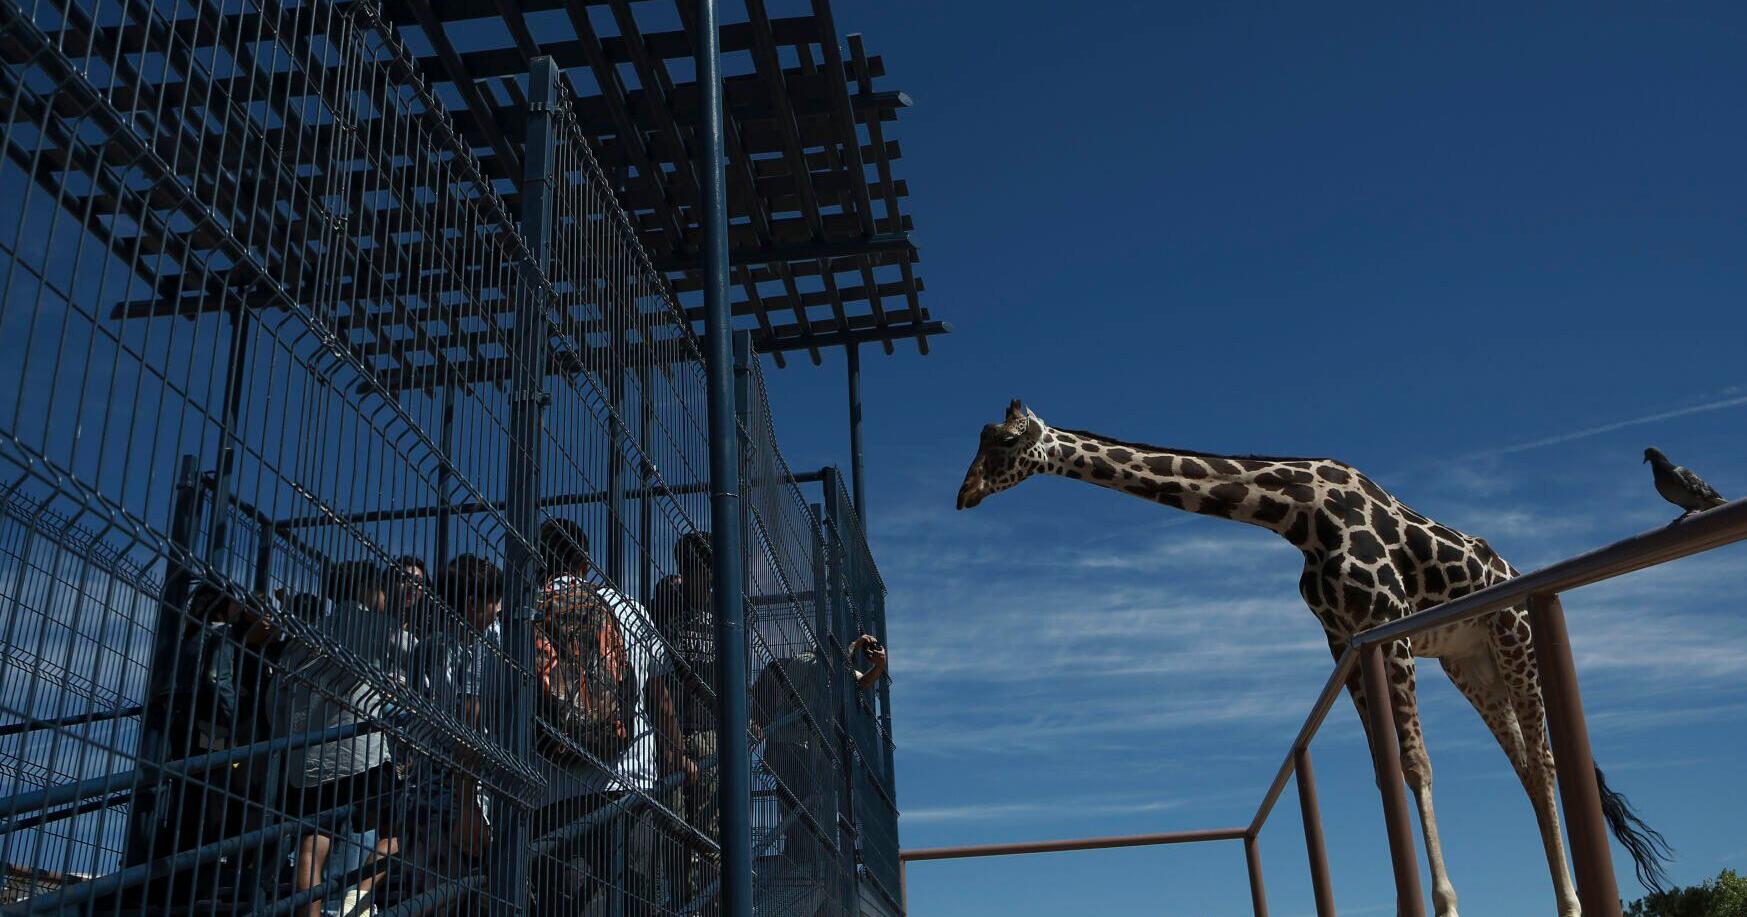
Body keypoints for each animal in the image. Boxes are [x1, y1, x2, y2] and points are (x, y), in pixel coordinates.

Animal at [955, 400, 1669, 917]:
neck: (1296, 512)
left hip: (1512, 636)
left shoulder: (1387, 623)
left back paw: (1571, 902)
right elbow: (1386, 773)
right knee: (1524, 766)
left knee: (1544, 762)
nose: (965, 495)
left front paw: (1444, 905)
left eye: (1008, 442)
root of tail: (1513, 575)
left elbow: (1416, 764)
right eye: (981, 440)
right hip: (1471, 663)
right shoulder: (1344, 639)